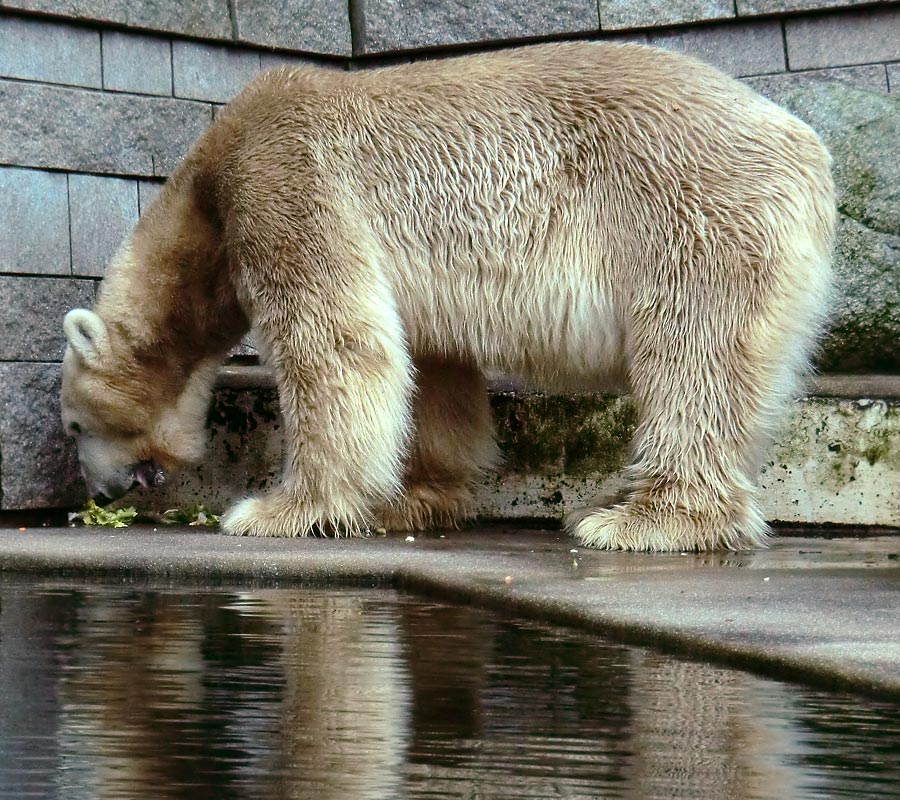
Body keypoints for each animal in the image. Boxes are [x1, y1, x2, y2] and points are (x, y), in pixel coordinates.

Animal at [61, 42, 836, 552]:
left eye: (72, 426)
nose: (97, 494)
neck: (204, 191)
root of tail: (805, 146)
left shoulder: (283, 177)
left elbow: (334, 342)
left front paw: (277, 509)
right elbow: (429, 367)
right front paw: (411, 499)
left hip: (689, 209)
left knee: (691, 356)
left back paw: (640, 519)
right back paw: (618, 499)